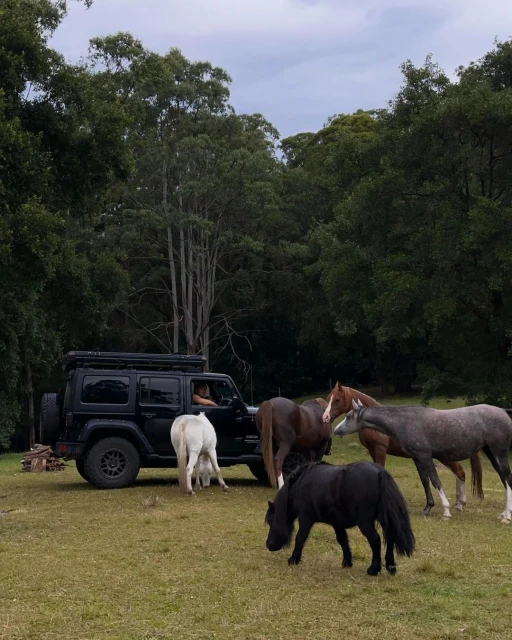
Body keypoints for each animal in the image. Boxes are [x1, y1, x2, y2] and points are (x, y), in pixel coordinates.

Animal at [264, 461, 415, 576]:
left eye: (271, 521)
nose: (269, 545)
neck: (301, 484)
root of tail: (379, 472)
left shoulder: (305, 518)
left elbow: (300, 537)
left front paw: (293, 559)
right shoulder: (337, 523)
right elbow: (342, 540)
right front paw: (347, 562)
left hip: (365, 522)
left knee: (375, 540)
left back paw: (374, 569)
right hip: (383, 518)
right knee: (390, 537)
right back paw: (390, 566)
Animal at [322, 383, 484, 512]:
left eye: (337, 399)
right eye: (328, 397)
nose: (325, 417)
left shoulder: (380, 450)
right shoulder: (372, 451)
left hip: (444, 457)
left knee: (460, 472)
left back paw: (460, 504)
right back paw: (458, 502)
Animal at [334, 400, 512, 522]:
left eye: (348, 416)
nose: (336, 430)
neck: (405, 421)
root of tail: (503, 411)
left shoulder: (426, 457)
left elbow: (435, 481)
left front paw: (446, 512)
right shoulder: (417, 458)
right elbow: (425, 481)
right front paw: (428, 508)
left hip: (500, 454)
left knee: (507, 479)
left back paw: (506, 517)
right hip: (492, 454)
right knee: (504, 479)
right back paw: (504, 513)